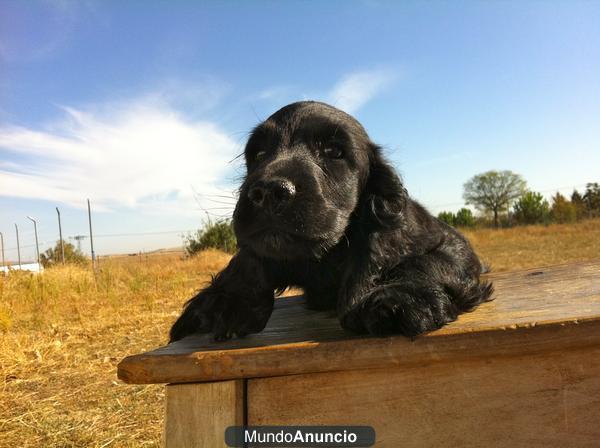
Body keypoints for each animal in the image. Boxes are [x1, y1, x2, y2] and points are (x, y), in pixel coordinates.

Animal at [170, 100, 492, 342]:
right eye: (258, 154)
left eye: (334, 151)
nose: (269, 191)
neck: (323, 261)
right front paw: (226, 303)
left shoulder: (453, 244)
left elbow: (424, 261)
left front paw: (399, 297)